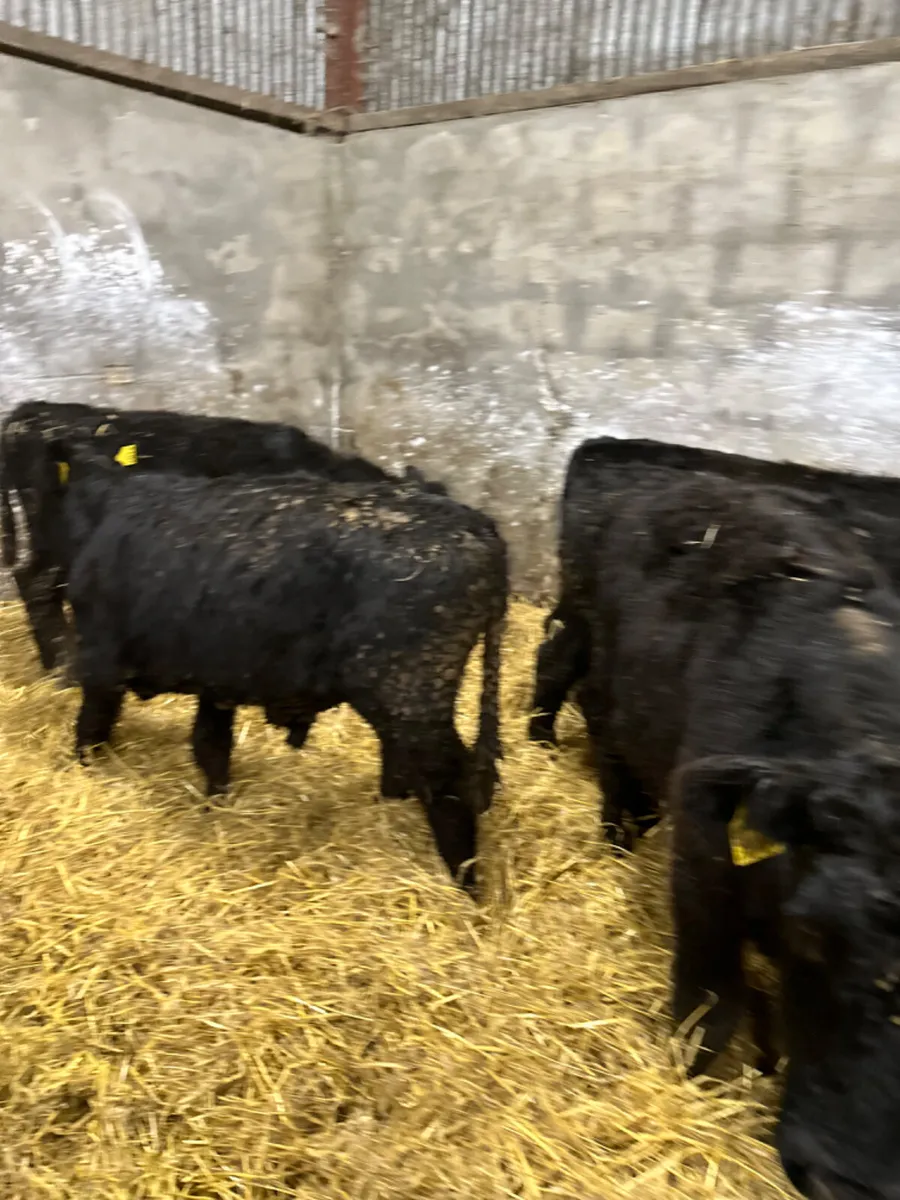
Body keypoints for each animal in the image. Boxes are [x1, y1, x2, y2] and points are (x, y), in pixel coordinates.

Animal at [53, 441, 506, 897]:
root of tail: (478, 526)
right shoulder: (216, 678)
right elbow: (211, 747)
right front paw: (215, 809)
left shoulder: (101, 659)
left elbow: (92, 730)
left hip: (410, 693)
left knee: (451, 782)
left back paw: (466, 887)